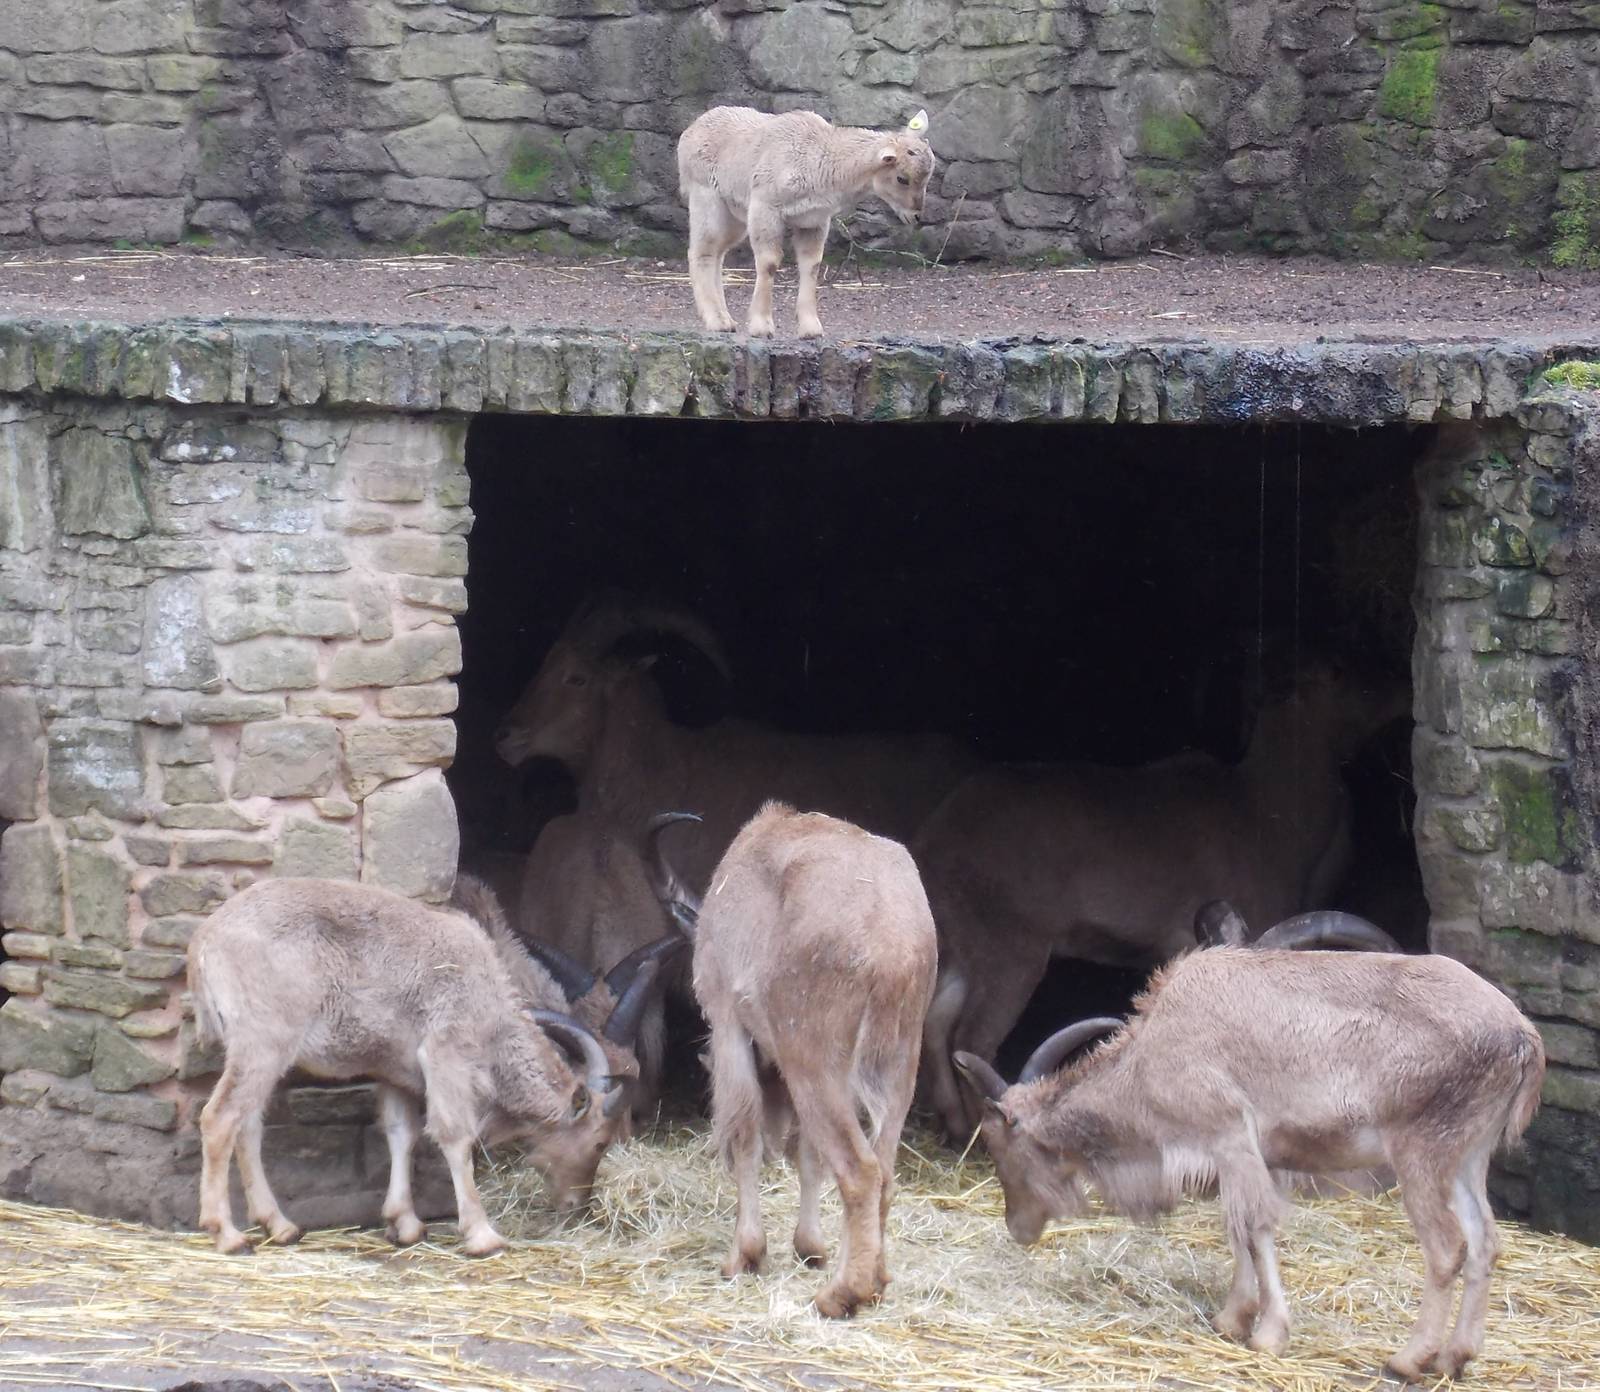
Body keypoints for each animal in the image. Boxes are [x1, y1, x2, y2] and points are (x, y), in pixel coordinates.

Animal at [188, 877, 634, 1257]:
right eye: (600, 1142)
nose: (577, 1205)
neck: (492, 1008)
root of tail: (205, 940)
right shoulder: (447, 1054)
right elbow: (455, 1135)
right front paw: (482, 1235)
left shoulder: (394, 1073)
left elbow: (401, 1134)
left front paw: (405, 1224)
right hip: (264, 1042)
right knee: (220, 1118)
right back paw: (227, 1234)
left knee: (248, 1125)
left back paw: (280, 1226)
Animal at [657, 801, 937, 1317]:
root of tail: (890, 941)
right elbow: (807, 1153)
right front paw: (810, 1248)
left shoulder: (728, 1023)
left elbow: (745, 1136)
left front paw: (743, 1256)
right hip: (899, 1064)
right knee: (883, 1171)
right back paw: (875, 1282)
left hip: (813, 1060)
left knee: (859, 1170)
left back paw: (840, 1295)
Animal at [677, 105, 934, 338]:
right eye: (902, 178)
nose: (916, 215)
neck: (818, 159)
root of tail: (689, 133)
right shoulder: (765, 206)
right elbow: (769, 263)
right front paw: (762, 326)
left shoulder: (813, 220)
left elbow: (812, 266)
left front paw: (811, 329)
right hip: (706, 196)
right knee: (701, 252)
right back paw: (716, 320)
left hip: (734, 214)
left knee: (718, 253)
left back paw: (727, 320)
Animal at [918, 660, 1409, 1140]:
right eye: (1341, 675)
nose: (1399, 687)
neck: (1268, 810)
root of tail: (933, 843)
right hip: (1009, 949)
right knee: (972, 1038)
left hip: (965, 944)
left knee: (936, 1019)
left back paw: (954, 1126)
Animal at [953, 942, 1545, 1381]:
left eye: (1000, 1146)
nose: (1018, 1229)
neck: (1153, 1055)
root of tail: (1523, 1037)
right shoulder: (1242, 1157)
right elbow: (1236, 1230)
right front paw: (1231, 1318)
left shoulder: (1230, 1138)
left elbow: (1255, 1228)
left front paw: (1266, 1334)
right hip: (1467, 1157)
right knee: (1485, 1241)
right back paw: (1455, 1358)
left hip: (1421, 1151)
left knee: (1447, 1247)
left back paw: (1408, 1358)